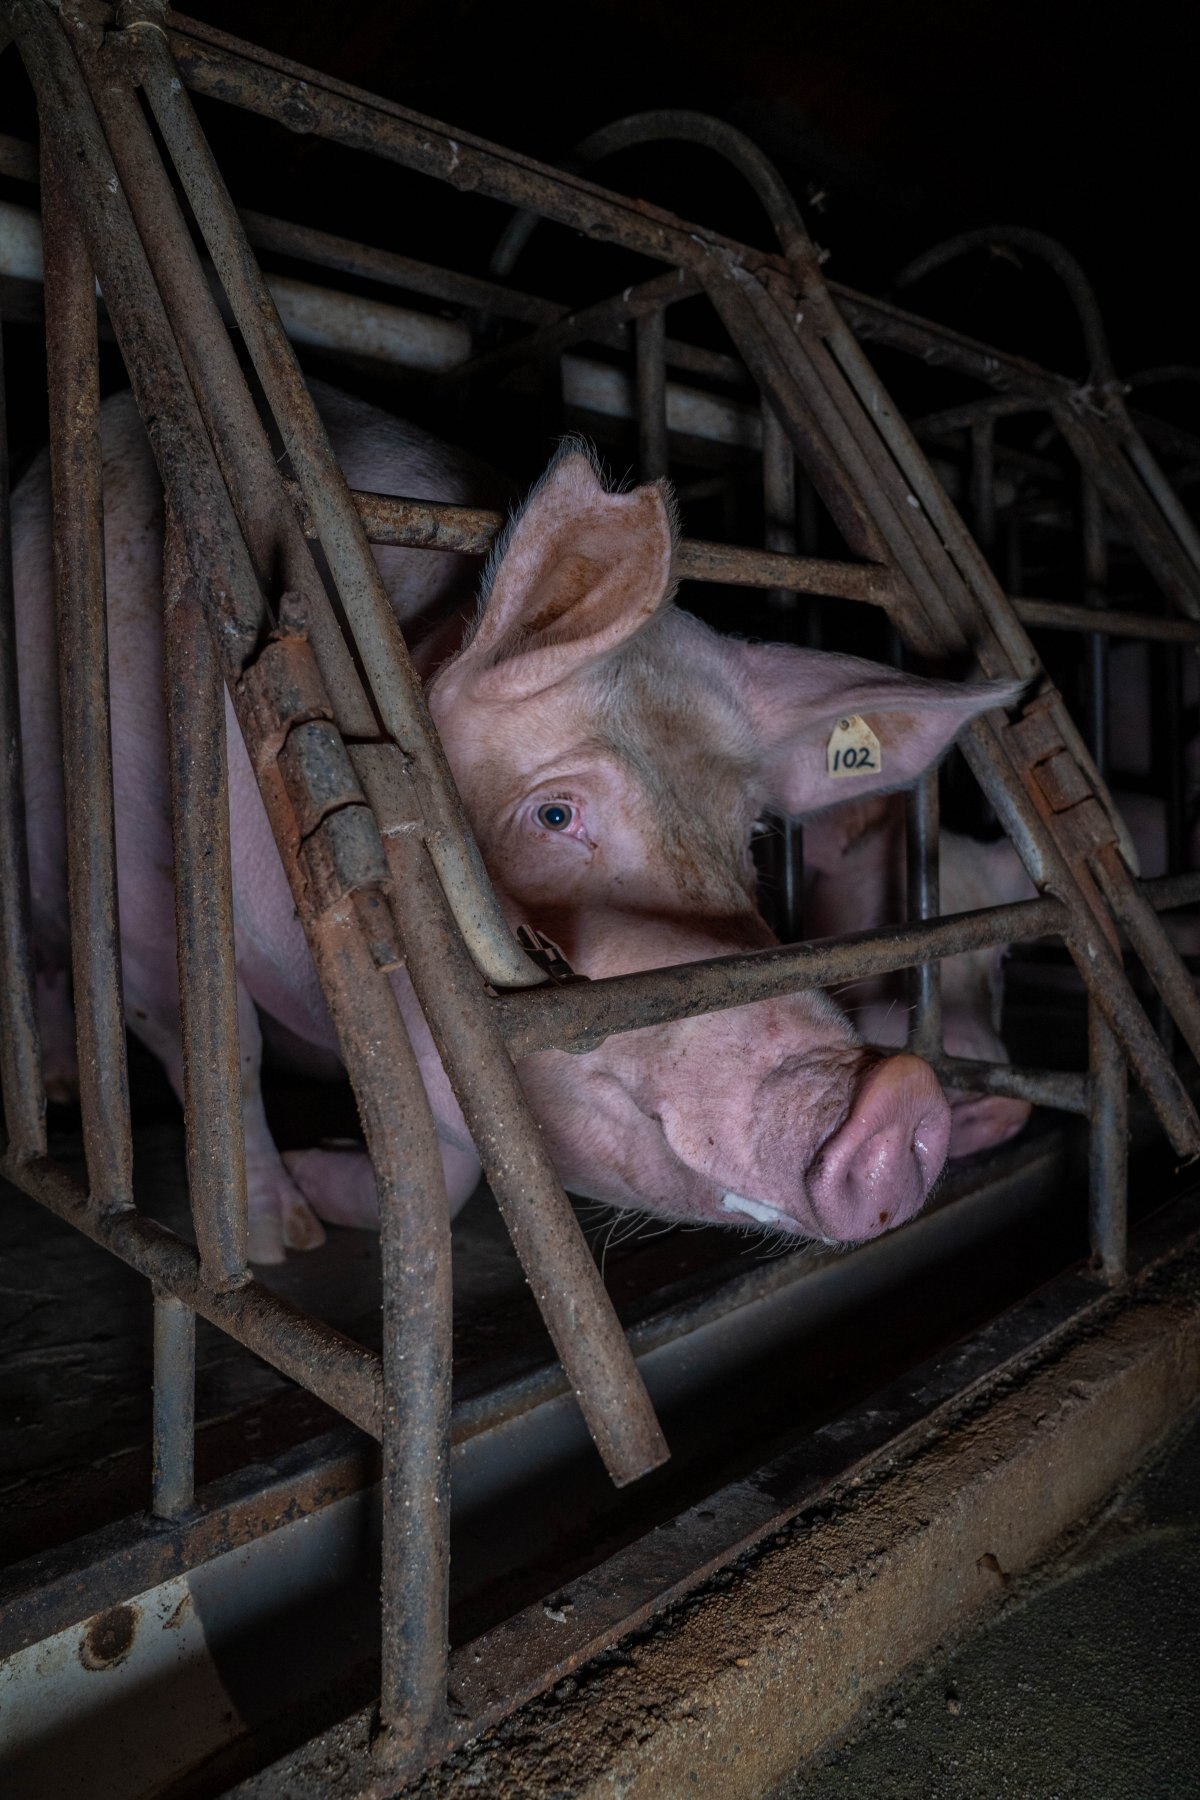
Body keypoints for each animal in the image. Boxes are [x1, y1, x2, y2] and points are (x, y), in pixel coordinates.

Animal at [13, 382, 1018, 1262]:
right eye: (556, 813)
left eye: (751, 842)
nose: (901, 1095)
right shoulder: (140, 887)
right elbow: (222, 1050)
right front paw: (278, 1241)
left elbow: (453, 1158)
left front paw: (333, 1188)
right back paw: (58, 1088)